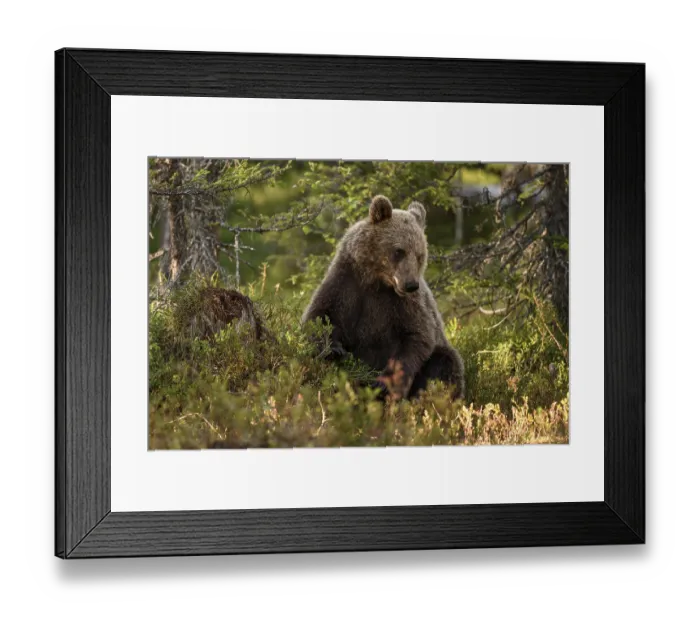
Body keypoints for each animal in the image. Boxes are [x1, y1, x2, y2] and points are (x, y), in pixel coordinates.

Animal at [302, 195, 465, 400]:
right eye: (399, 251)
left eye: (419, 255)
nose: (411, 284)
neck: (376, 281)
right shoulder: (346, 283)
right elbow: (320, 314)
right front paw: (333, 349)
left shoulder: (404, 305)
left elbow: (417, 336)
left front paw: (384, 383)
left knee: (445, 362)